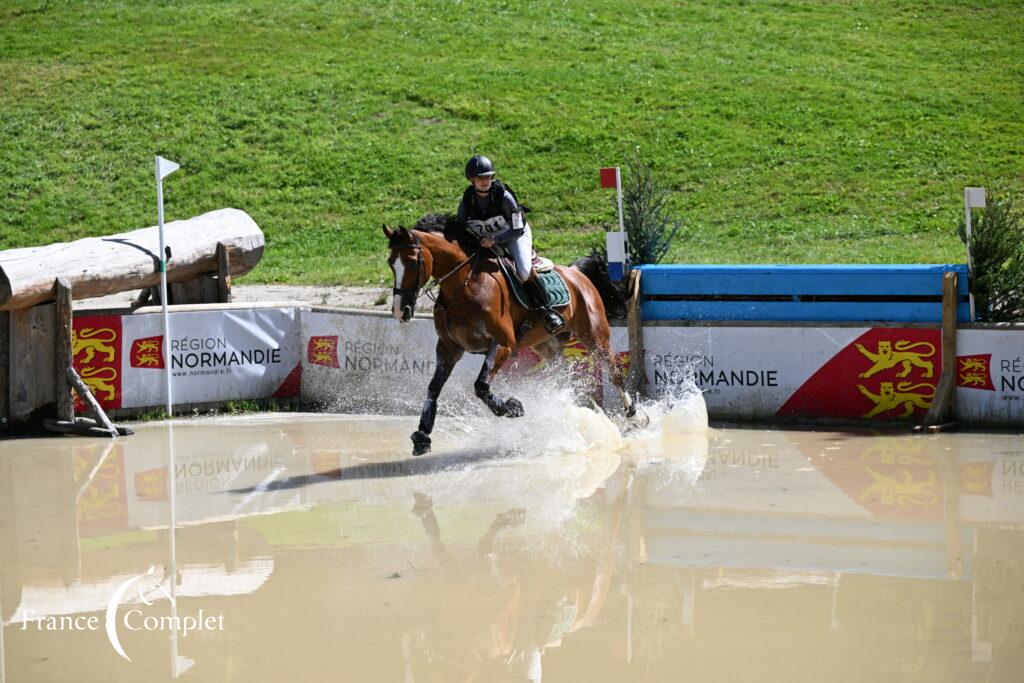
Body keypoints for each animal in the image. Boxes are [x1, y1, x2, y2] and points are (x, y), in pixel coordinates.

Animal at [385, 216, 630, 456]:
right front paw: (422, 436)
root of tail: (575, 272)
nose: (400, 310)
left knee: (614, 371)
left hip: (594, 334)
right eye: (390, 263)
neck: (465, 286)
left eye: (413, 262)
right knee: (564, 377)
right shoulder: (449, 347)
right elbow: (434, 388)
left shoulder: (503, 344)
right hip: (545, 344)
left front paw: (513, 407)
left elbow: (481, 386)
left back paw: (632, 416)